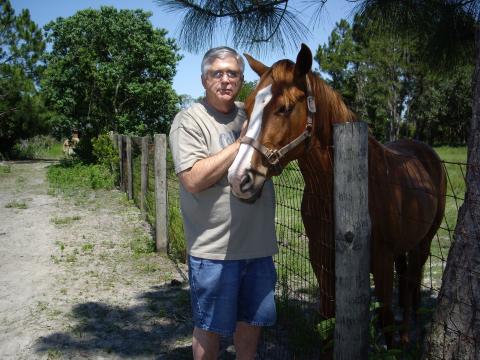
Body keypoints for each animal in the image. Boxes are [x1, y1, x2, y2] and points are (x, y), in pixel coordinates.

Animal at [228, 44, 446, 348]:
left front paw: (392, 345)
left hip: (423, 243)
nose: (239, 178)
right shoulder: (321, 258)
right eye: (247, 108)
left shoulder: (381, 262)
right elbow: (328, 318)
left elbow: (386, 318)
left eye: (284, 108)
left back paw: (404, 338)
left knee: (409, 286)